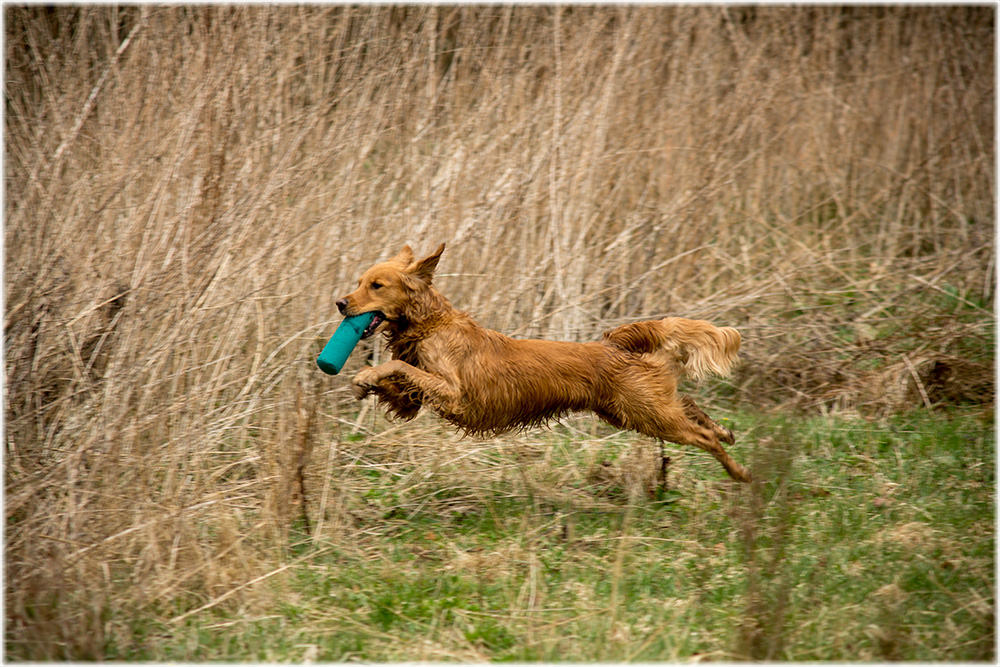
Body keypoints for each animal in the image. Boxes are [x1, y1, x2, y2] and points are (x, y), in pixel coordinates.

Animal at [336, 243, 752, 482]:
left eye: (376, 286)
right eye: (358, 282)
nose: (340, 303)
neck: (430, 324)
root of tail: (616, 342)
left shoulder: (454, 392)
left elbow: (401, 368)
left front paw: (366, 375)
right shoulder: (420, 395)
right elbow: (401, 385)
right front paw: (367, 384)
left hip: (646, 413)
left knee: (700, 436)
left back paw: (740, 471)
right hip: (632, 411)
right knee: (690, 406)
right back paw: (724, 431)